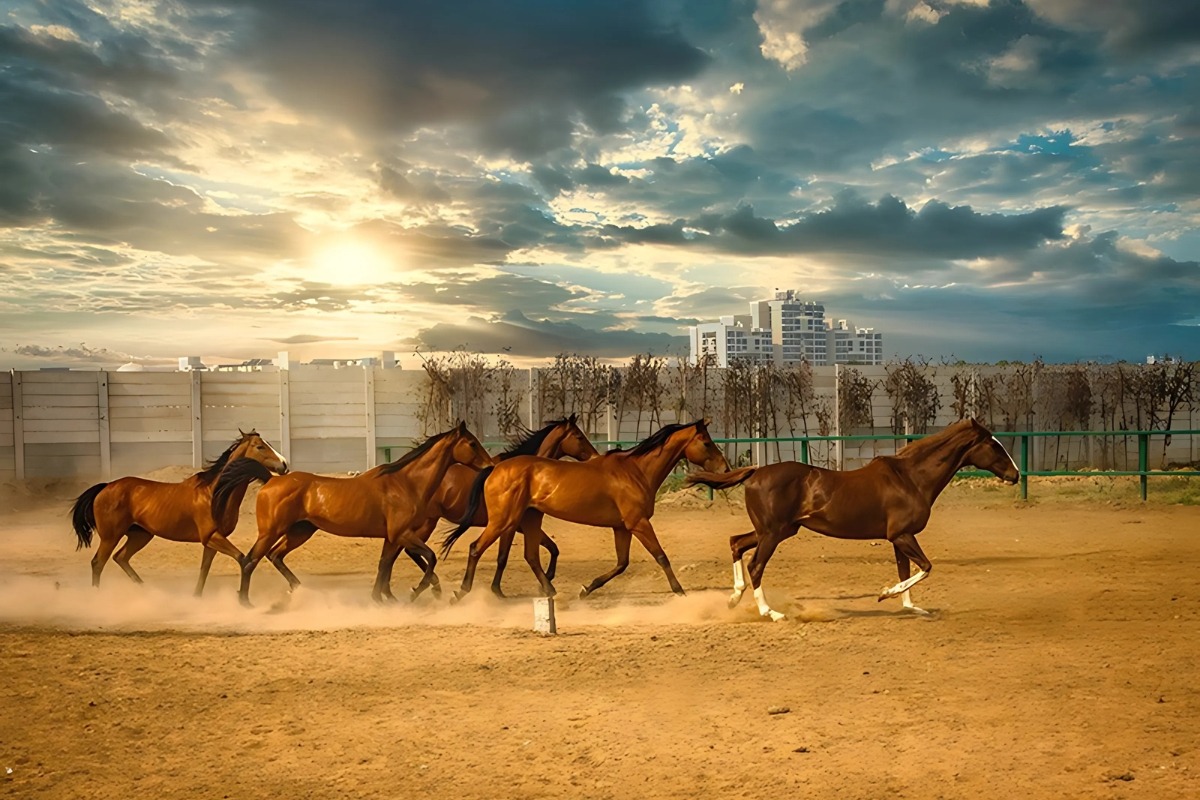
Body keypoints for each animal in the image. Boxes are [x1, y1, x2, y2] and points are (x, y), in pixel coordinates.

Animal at [69, 430, 288, 592]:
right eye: (260, 446)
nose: (284, 465)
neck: (215, 493)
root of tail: (105, 486)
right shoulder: (211, 537)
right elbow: (243, 560)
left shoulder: (212, 540)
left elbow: (204, 570)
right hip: (111, 536)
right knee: (98, 563)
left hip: (140, 535)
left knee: (120, 557)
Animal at [212, 422, 492, 605]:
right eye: (472, 443)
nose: (490, 465)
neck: (406, 482)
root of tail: (271, 479)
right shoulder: (402, 534)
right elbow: (430, 557)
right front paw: (414, 593)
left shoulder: (393, 537)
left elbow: (384, 565)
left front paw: (382, 598)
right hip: (271, 532)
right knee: (250, 561)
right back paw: (245, 602)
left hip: (300, 531)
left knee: (275, 556)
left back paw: (298, 591)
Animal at [441, 419, 730, 600]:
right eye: (706, 443)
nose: (725, 468)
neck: (636, 472)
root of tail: (494, 468)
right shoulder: (638, 523)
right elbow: (661, 557)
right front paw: (680, 591)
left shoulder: (622, 527)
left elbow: (622, 564)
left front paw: (586, 589)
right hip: (504, 521)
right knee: (476, 548)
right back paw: (460, 592)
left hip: (529, 519)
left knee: (531, 556)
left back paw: (549, 590)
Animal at [685, 418, 1020, 621]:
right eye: (993, 445)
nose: (1015, 475)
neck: (911, 478)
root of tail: (755, 472)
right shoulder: (902, 536)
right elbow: (924, 568)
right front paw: (884, 594)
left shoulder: (898, 539)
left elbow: (906, 570)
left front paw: (912, 607)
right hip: (773, 533)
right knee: (755, 564)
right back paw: (771, 613)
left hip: (776, 530)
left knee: (736, 543)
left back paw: (733, 599)